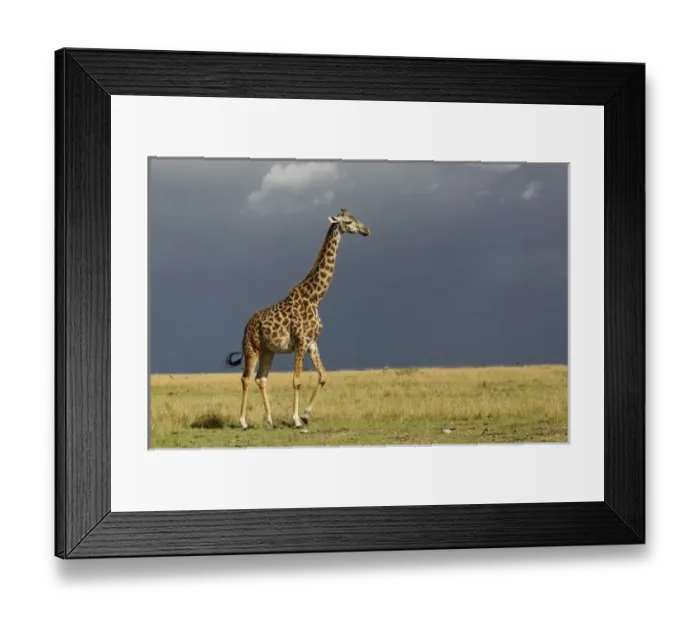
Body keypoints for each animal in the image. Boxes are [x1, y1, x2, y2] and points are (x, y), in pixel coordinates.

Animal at [225, 209, 371, 430]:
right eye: (347, 222)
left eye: (355, 218)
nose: (366, 230)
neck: (316, 297)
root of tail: (246, 326)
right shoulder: (301, 342)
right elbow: (297, 381)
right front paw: (296, 419)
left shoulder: (312, 342)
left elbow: (323, 376)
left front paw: (306, 415)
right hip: (252, 348)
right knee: (246, 379)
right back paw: (242, 421)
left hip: (269, 351)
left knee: (261, 378)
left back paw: (270, 420)